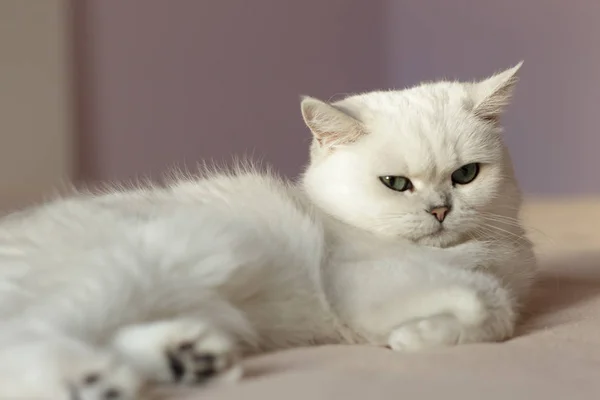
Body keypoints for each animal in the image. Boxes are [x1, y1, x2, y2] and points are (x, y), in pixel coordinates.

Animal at [0, 64, 536, 398]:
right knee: (27, 339)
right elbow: (492, 304)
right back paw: (94, 379)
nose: (441, 210)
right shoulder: (361, 284)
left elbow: (495, 304)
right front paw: (418, 337)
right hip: (126, 271)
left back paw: (188, 357)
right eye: (396, 184)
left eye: (466, 175)